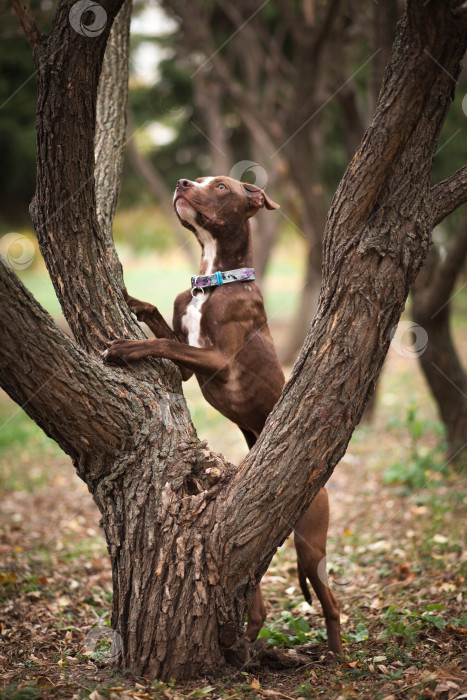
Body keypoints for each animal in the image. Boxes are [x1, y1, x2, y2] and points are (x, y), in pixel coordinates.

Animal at [105, 176, 344, 656]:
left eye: (219, 186)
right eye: (199, 179)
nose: (182, 183)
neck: (213, 280)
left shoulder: (216, 358)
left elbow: (164, 343)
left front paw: (125, 347)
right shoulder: (186, 366)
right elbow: (161, 324)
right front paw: (131, 299)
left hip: (310, 546)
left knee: (330, 600)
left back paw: (339, 653)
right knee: (259, 603)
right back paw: (243, 644)